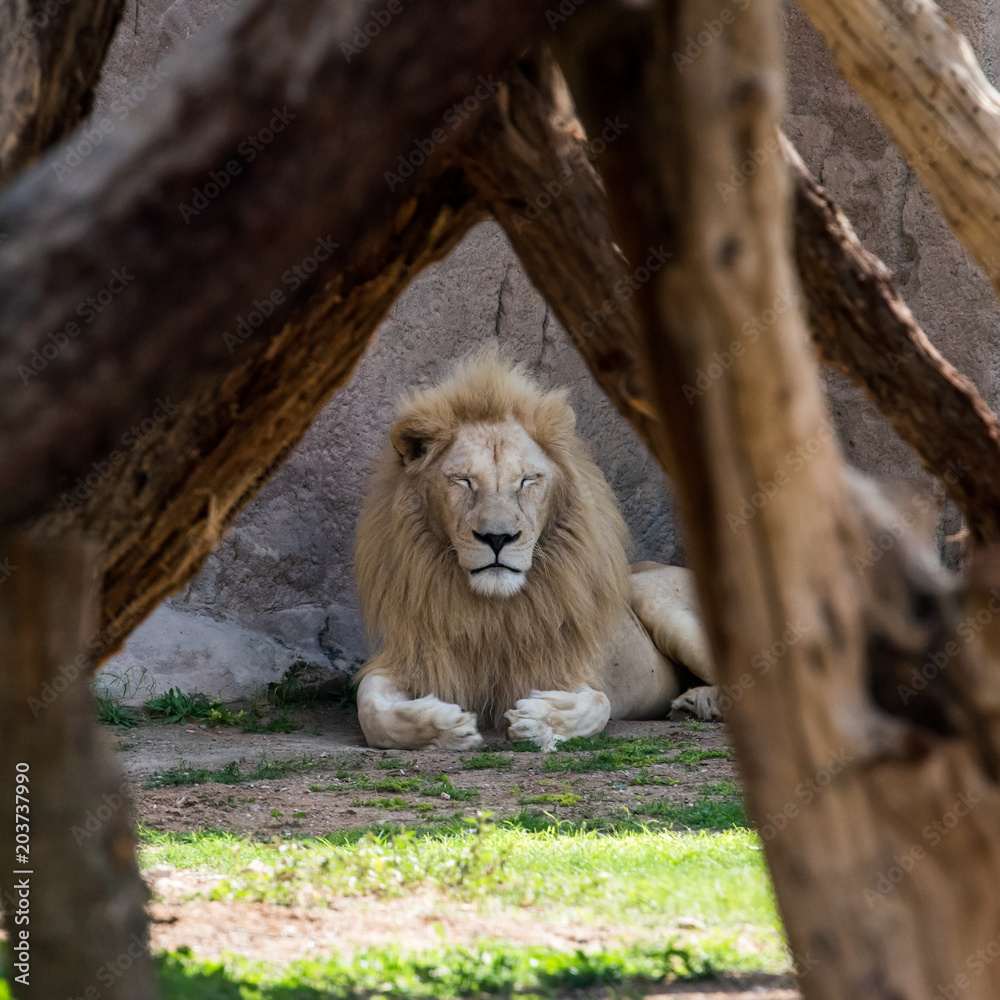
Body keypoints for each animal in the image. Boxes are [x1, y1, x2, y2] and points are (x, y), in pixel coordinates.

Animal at [353, 353, 719, 750]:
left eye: (527, 480)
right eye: (463, 481)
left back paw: (703, 702)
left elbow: (599, 703)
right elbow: (371, 709)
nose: (498, 538)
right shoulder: (405, 655)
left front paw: (538, 720)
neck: (492, 612)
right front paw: (447, 725)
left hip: (658, 603)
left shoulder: (570, 668)